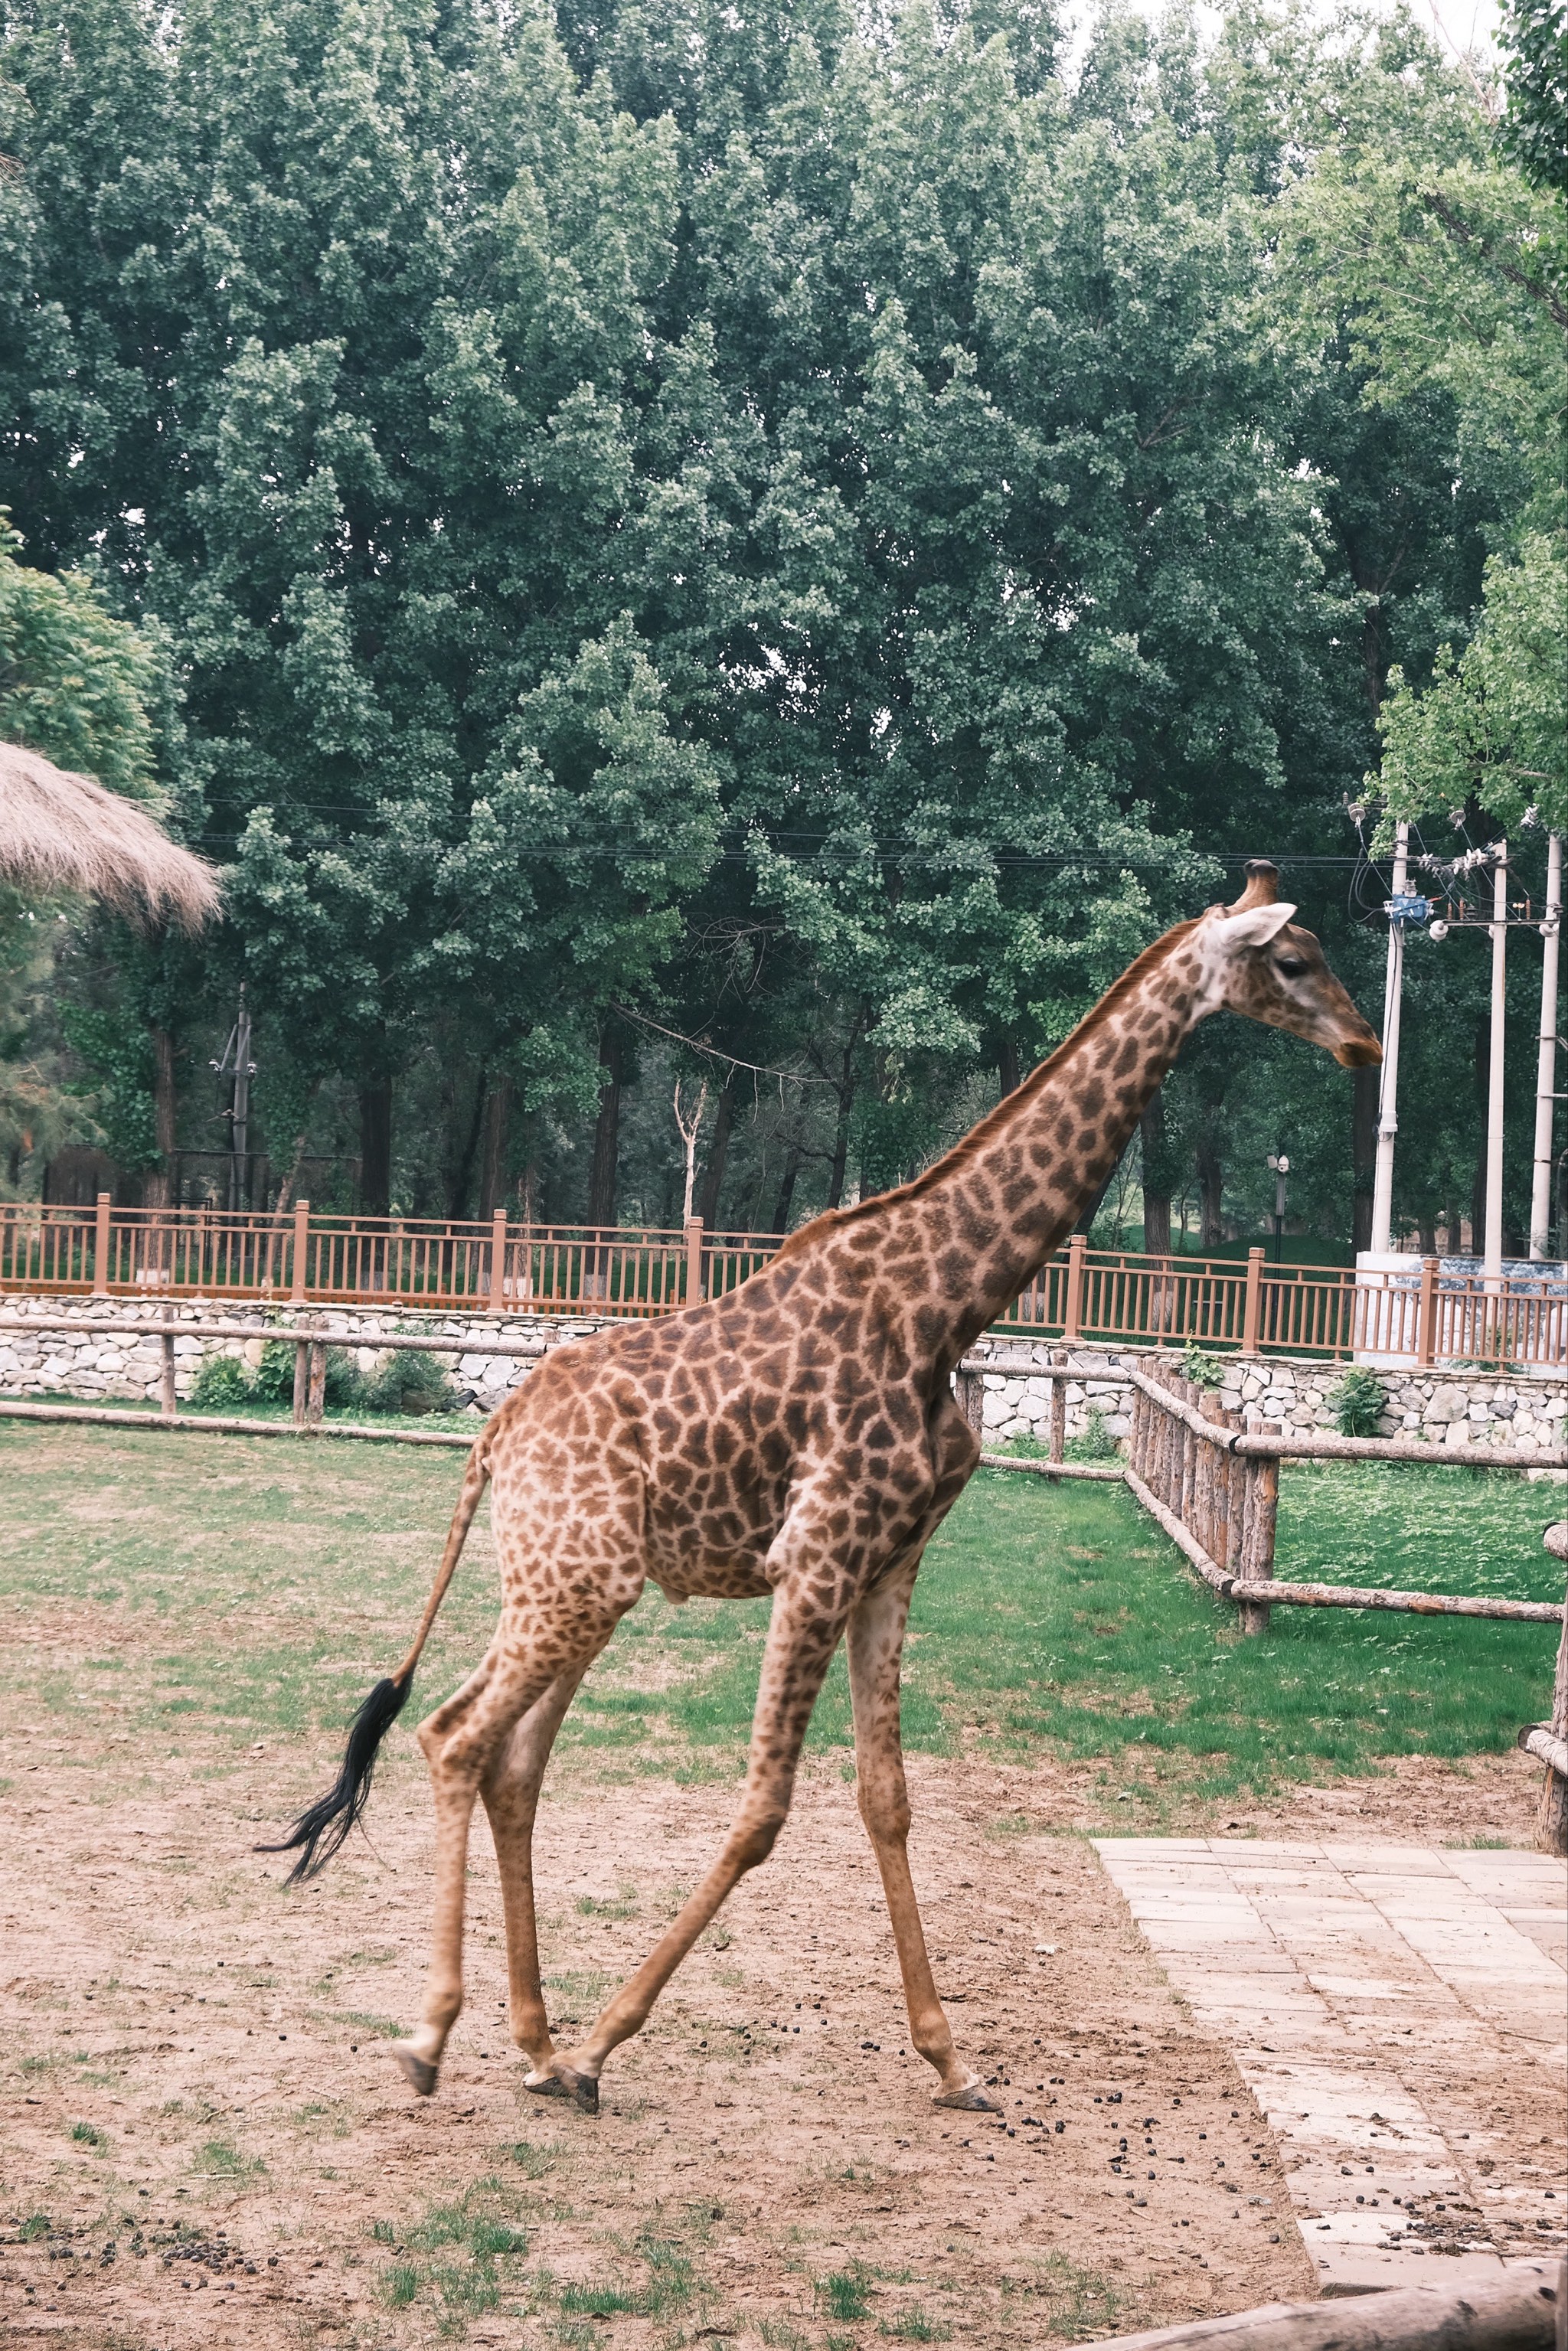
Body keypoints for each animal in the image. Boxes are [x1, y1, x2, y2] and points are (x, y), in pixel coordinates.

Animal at [270, 865, 1382, 2115]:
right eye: (1292, 960)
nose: (1365, 1041)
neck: (948, 1305)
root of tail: (495, 1435)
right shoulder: (815, 1555)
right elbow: (764, 1807)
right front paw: (611, 2043)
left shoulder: (891, 1560)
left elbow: (886, 1798)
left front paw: (952, 2059)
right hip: (571, 1581)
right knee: (456, 1737)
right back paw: (439, 2038)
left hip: (576, 1588)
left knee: (511, 1762)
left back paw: (536, 2044)